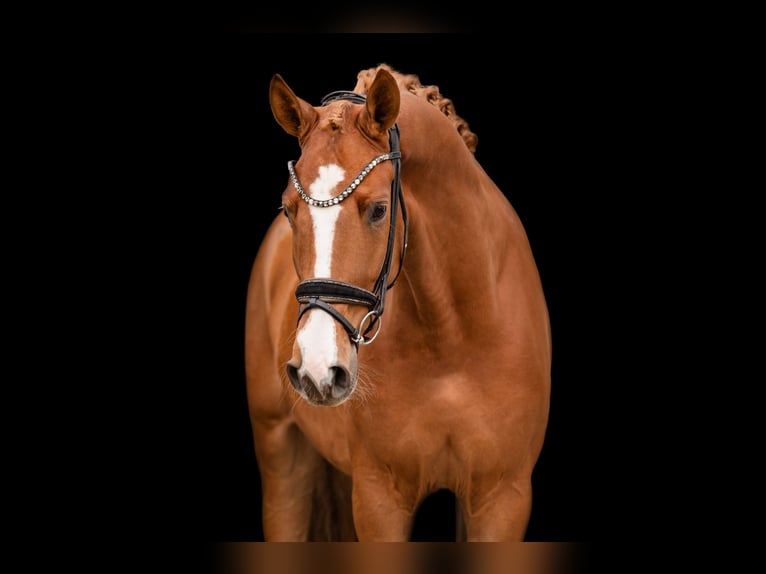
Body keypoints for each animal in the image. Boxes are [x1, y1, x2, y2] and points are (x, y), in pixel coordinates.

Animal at [245, 64, 551, 541]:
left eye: (378, 210)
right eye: (289, 208)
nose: (316, 367)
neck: (453, 340)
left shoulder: (503, 499)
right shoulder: (379, 498)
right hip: (281, 451)